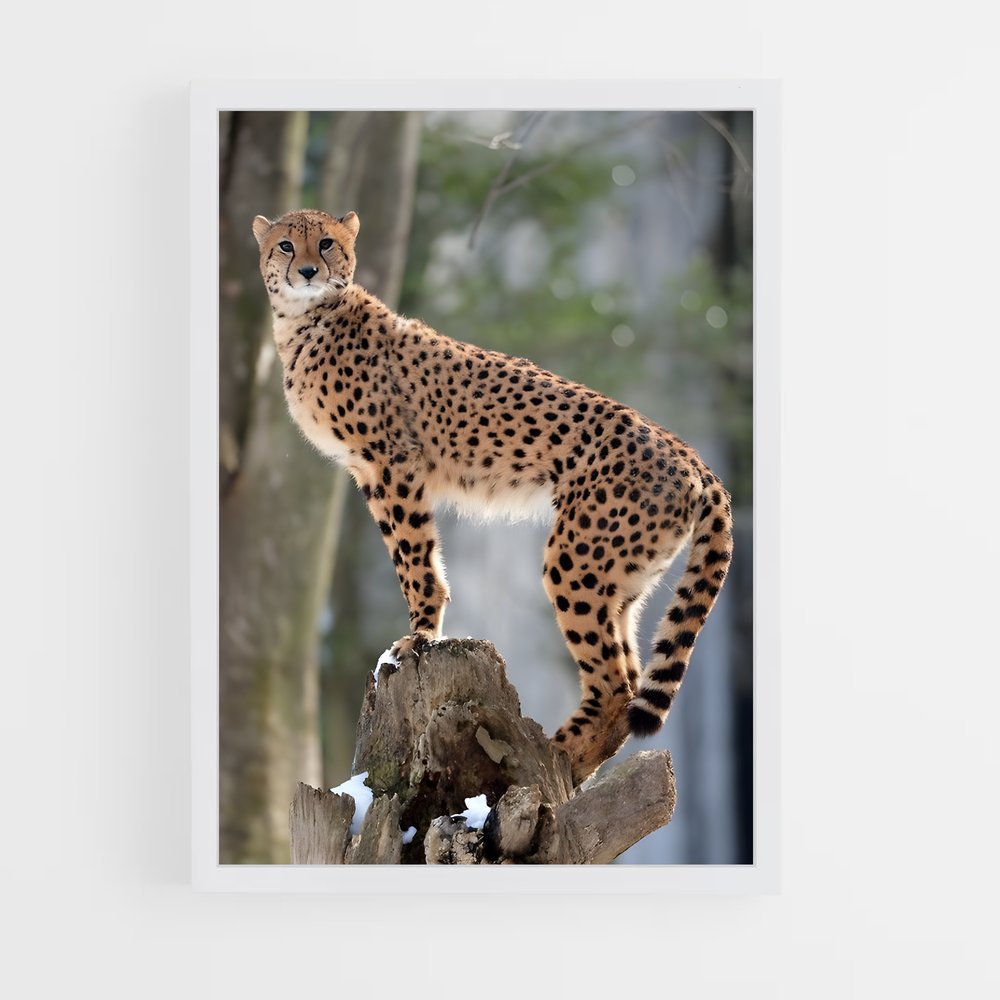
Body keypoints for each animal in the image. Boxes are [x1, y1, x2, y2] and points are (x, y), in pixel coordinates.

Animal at [252, 208, 734, 786]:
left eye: (325, 243)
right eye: (285, 245)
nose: (306, 270)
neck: (303, 320)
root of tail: (691, 455)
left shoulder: (392, 461)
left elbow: (414, 558)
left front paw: (420, 636)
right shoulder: (371, 471)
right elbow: (411, 553)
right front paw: (423, 632)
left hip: (575, 561)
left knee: (616, 686)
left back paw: (551, 757)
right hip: (623, 579)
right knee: (631, 674)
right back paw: (565, 766)